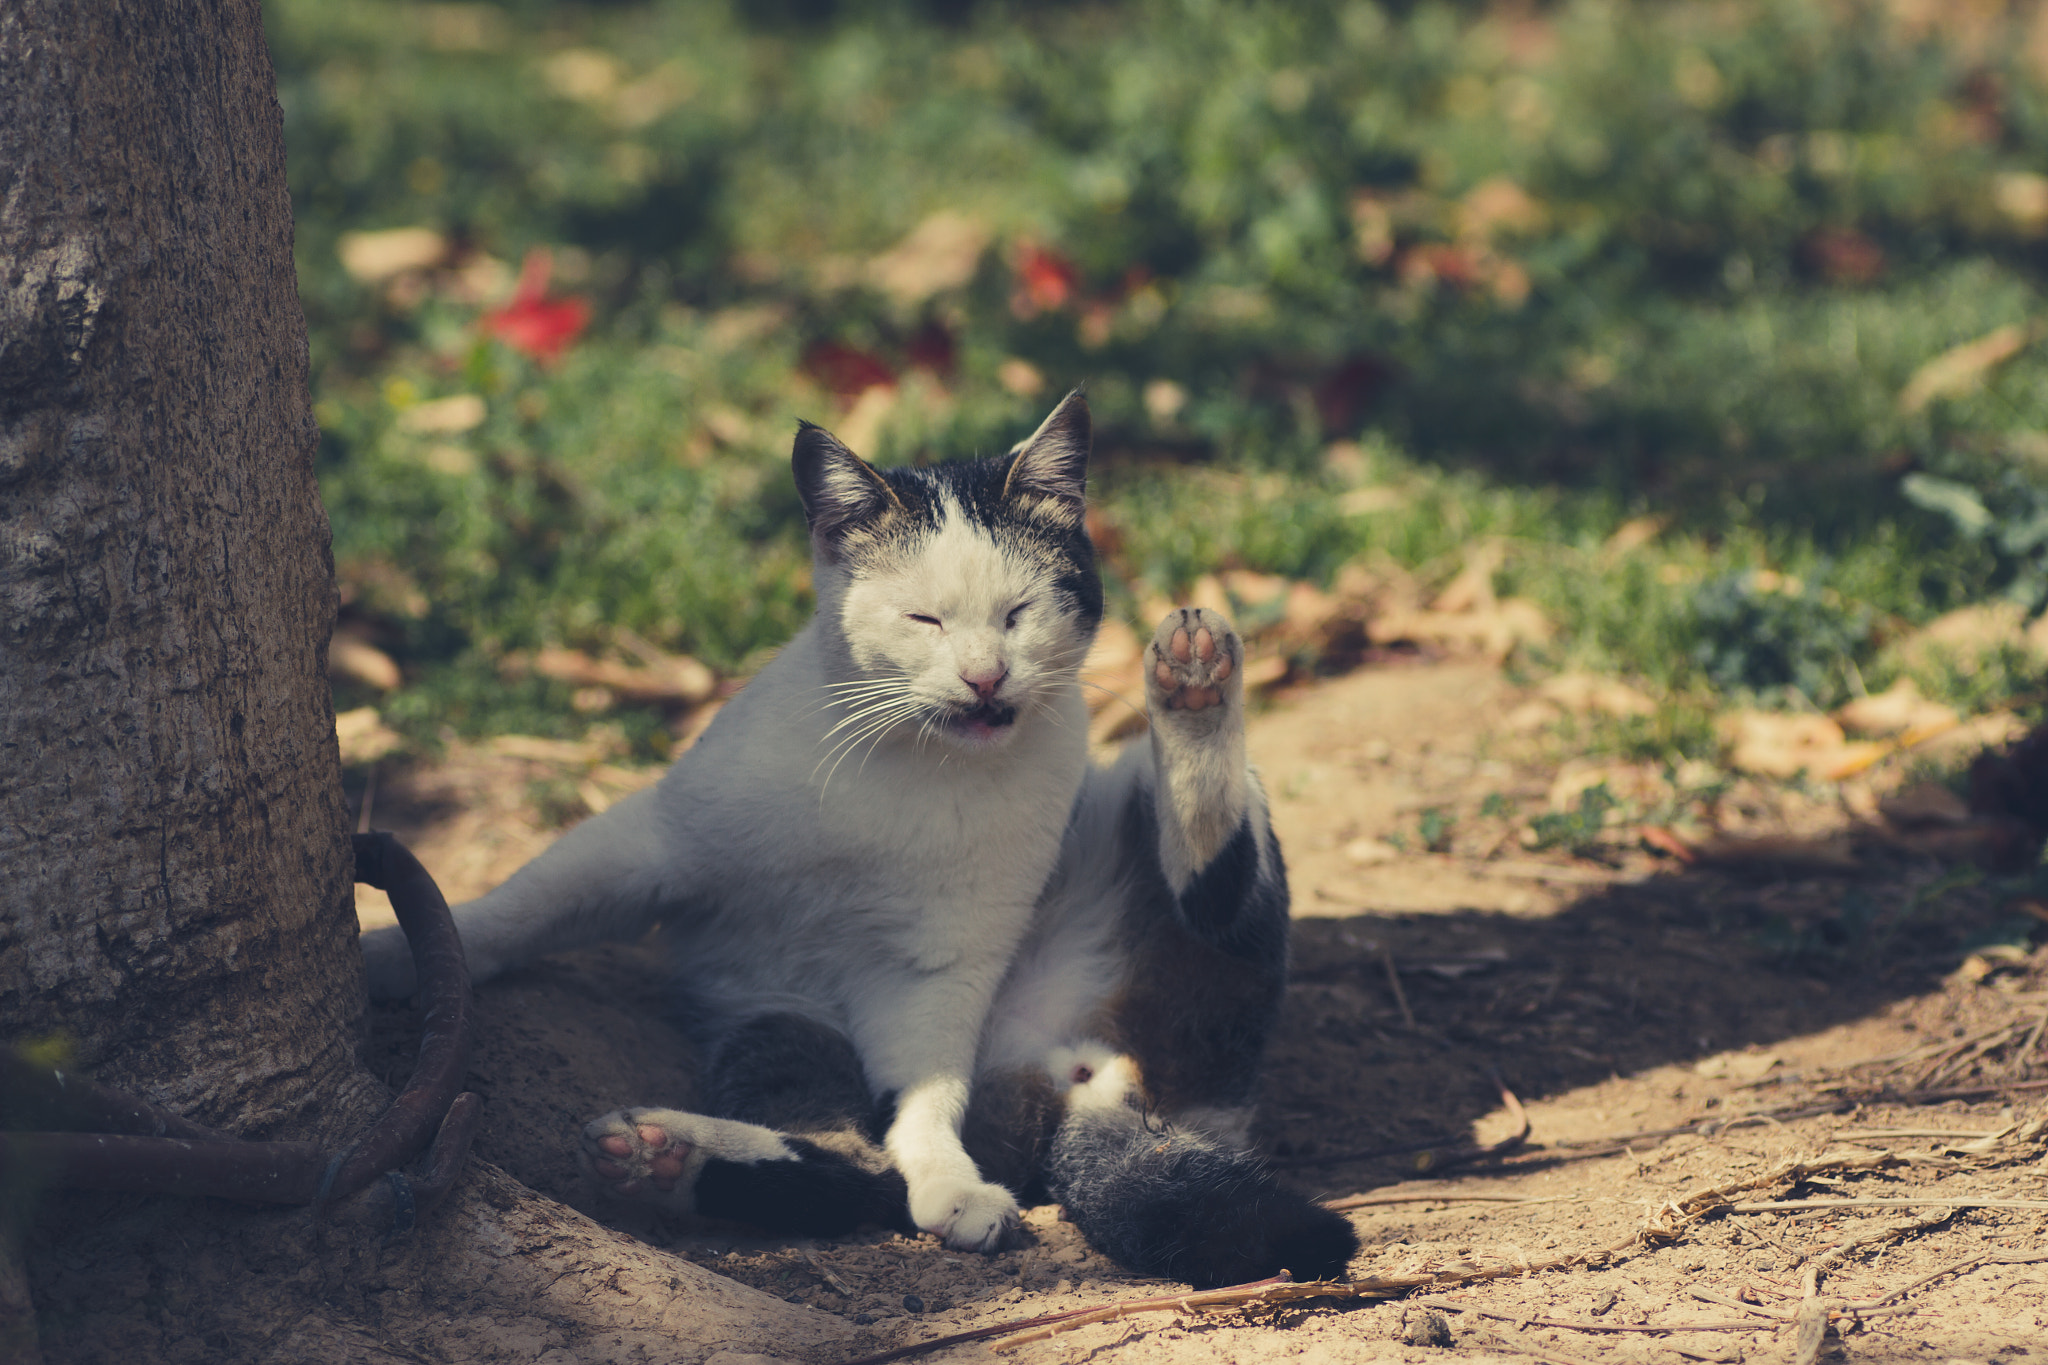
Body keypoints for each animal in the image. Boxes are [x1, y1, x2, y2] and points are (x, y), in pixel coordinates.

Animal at [368, 388, 1359, 1285]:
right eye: (925, 618)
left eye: (1018, 613)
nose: (985, 677)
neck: (902, 761)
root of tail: (1089, 1081)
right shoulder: (651, 840)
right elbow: (520, 906)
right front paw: (403, 951)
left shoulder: (939, 965)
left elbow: (923, 1099)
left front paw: (950, 1181)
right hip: (776, 1015)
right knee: (843, 1159)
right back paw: (669, 1155)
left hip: (1140, 835)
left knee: (1214, 896)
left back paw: (1194, 687)